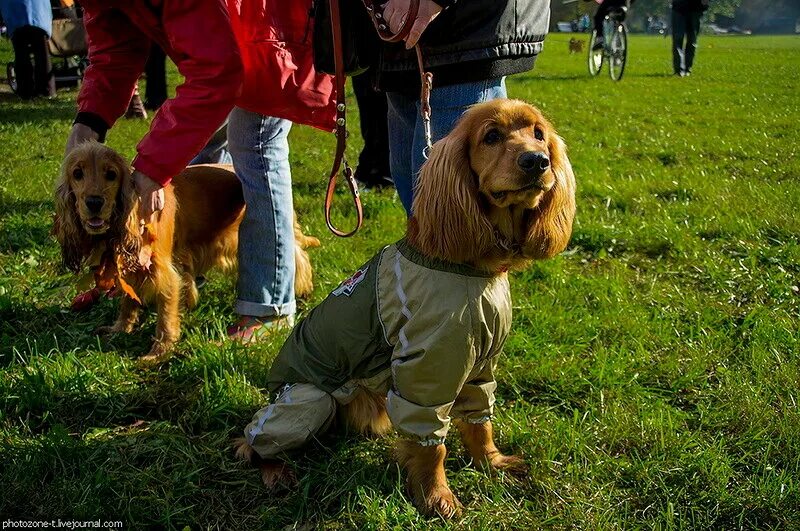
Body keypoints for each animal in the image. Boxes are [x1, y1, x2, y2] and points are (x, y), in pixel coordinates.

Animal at [54, 142, 318, 362]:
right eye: (77, 174)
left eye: (111, 174)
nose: (94, 203)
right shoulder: (131, 267)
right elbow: (128, 302)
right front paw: (120, 329)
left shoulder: (164, 272)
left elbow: (165, 316)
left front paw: (158, 353)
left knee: (296, 255)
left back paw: (302, 289)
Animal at [234, 100, 580, 520]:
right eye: (492, 136)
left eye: (539, 134)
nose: (537, 161)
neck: (473, 270)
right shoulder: (428, 370)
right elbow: (433, 444)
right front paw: (436, 497)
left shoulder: (481, 363)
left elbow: (480, 421)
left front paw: (492, 463)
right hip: (306, 399)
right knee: (253, 440)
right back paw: (275, 470)